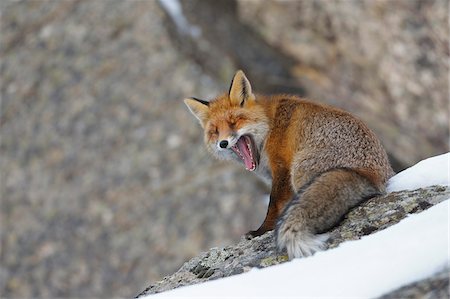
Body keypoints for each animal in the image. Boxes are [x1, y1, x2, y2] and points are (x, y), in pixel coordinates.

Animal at [183, 71, 394, 260]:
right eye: (215, 131)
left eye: (234, 122)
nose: (223, 143)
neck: (269, 127)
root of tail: (371, 175)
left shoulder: (282, 168)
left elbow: (274, 205)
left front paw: (261, 231)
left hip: (299, 169)